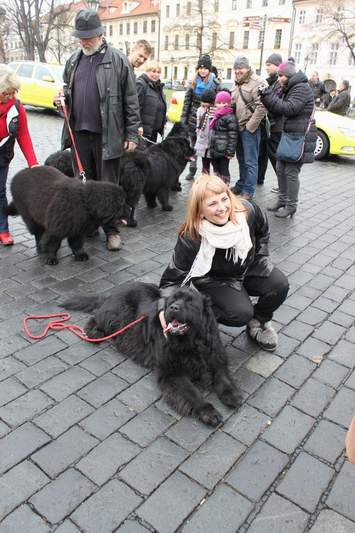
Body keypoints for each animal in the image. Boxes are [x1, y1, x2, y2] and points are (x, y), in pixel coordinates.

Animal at [62, 280, 243, 426]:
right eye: (173, 300)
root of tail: (112, 293)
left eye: (190, 303)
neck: (191, 343)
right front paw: (208, 412)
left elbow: (222, 377)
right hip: (116, 314)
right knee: (97, 318)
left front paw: (232, 395)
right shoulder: (172, 373)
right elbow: (192, 392)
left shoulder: (215, 357)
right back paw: (94, 333)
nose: (173, 307)